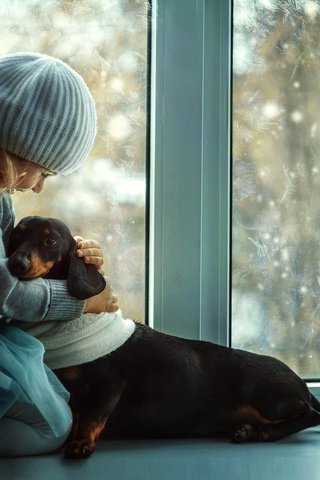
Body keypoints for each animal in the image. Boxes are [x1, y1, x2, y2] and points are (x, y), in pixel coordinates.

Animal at [7, 216, 320, 460]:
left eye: (51, 241)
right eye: (15, 235)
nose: (15, 264)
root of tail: (301, 384)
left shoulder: (110, 383)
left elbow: (92, 415)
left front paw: (80, 443)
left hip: (267, 395)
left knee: (310, 414)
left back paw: (264, 431)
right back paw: (248, 430)